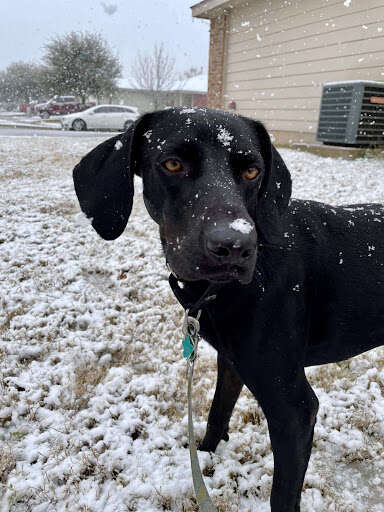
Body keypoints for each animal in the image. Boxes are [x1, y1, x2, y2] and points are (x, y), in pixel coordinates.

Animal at [73, 106, 384, 510]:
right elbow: (217, 414)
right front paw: (205, 459)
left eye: (252, 171)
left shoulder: (294, 409)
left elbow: (283, 496)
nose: (234, 246)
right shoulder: (232, 361)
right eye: (172, 163)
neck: (222, 291)